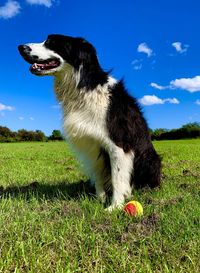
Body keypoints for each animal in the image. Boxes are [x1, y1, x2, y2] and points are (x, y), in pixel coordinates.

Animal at [18, 33, 162, 208]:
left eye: (51, 42)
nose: (20, 47)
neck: (83, 85)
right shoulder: (92, 142)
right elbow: (98, 174)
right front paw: (99, 199)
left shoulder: (118, 144)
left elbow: (118, 177)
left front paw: (114, 207)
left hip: (151, 159)